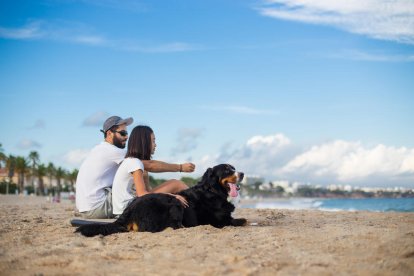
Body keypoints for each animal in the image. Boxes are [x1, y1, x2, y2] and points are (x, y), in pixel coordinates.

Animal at [75, 164, 246, 237]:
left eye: (234, 168)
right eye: (227, 170)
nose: (243, 173)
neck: (213, 190)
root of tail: (130, 209)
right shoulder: (220, 221)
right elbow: (242, 220)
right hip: (174, 203)